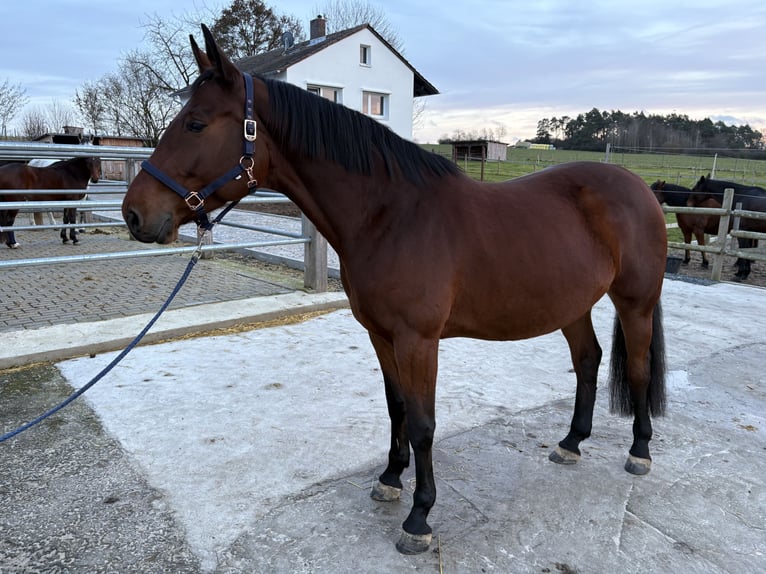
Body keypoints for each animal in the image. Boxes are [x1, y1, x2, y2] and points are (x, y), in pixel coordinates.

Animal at [122, 25, 668, 555]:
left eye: (196, 123)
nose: (134, 214)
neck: (390, 215)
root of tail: (638, 186)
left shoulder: (417, 340)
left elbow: (424, 422)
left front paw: (419, 517)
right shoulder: (381, 335)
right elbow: (397, 406)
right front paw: (389, 478)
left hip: (635, 302)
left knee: (638, 368)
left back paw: (639, 451)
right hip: (572, 305)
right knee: (589, 360)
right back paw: (571, 443)